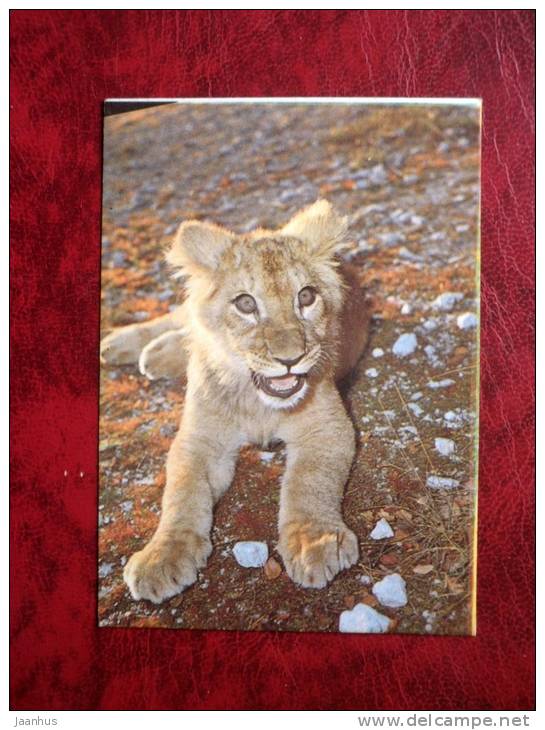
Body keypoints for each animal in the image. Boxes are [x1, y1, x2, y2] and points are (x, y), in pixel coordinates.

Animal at [100, 200, 370, 604]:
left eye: (306, 297)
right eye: (245, 304)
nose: (290, 358)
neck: (255, 399)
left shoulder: (327, 428)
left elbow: (309, 482)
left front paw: (314, 542)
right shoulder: (201, 439)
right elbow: (182, 491)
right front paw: (163, 556)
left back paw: (156, 354)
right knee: (182, 320)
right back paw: (123, 343)